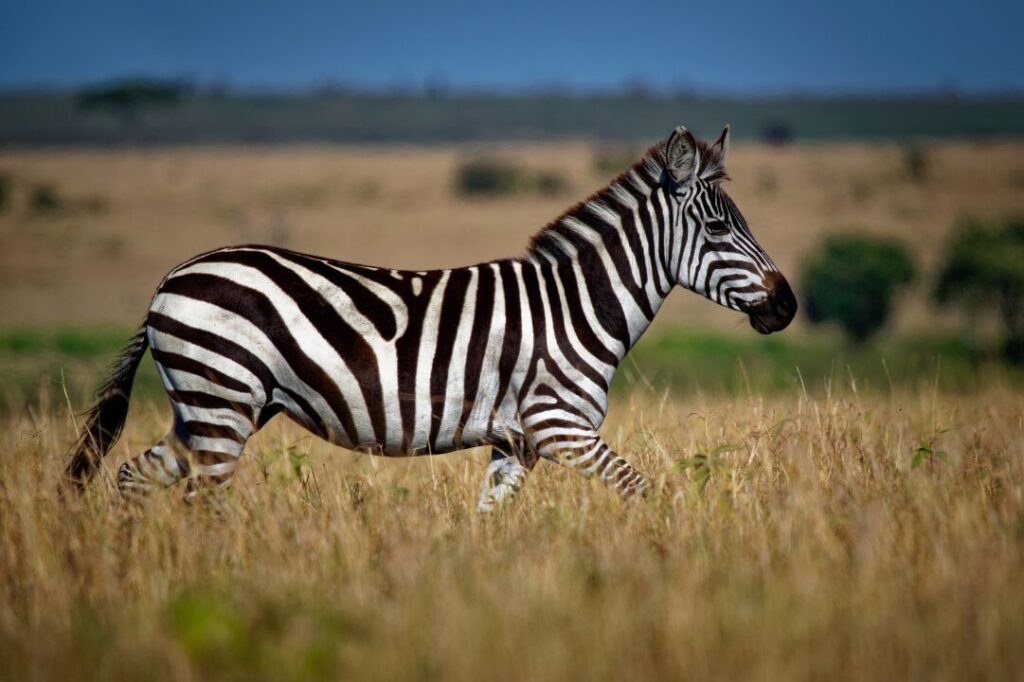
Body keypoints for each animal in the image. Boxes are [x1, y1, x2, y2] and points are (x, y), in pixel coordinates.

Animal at [64, 125, 796, 511]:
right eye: (717, 228)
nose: (787, 306)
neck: (576, 307)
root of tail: (171, 279)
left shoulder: (515, 442)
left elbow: (488, 523)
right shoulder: (558, 425)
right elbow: (639, 488)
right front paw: (666, 547)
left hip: (210, 404)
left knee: (133, 477)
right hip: (221, 400)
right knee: (200, 499)